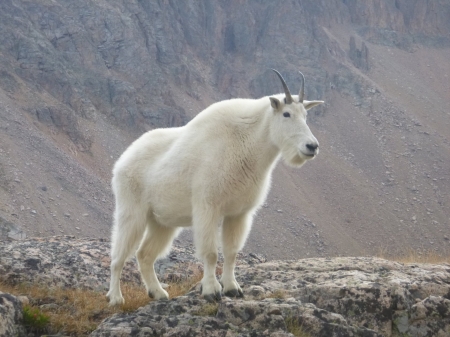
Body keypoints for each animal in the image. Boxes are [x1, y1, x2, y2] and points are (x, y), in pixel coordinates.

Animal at [106, 69, 324, 304]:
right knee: (118, 256)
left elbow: (231, 252)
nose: (312, 146)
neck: (247, 144)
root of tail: (123, 159)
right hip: (132, 210)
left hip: (162, 222)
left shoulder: (238, 213)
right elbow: (211, 253)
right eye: (286, 114)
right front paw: (211, 290)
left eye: (306, 115)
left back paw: (158, 293)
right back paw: (116, 298)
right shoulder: (208, 206)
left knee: (145, 254)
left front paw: (232, 288)